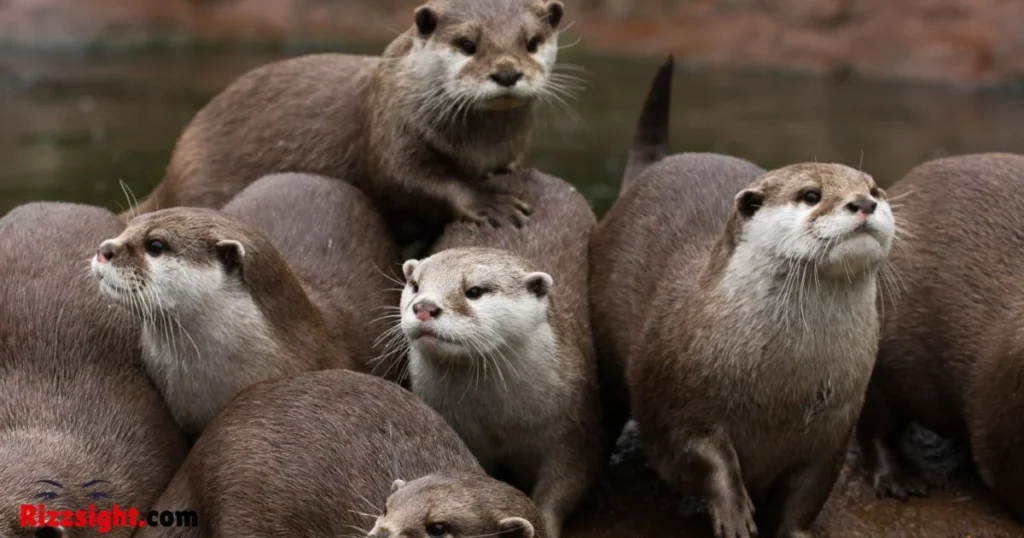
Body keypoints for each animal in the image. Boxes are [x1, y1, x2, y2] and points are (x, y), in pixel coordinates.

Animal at [129, 0, 569, 244]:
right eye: (467, 44)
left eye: (531, 42)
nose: (507, 73)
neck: (476, 148)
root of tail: (173, 172)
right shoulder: (389, 128)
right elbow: (407, 178)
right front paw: (488, 202)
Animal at [398, 170, 601, 538]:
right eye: (415, 286)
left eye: (475, 291)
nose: (424, 307)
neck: (500, 420)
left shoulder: (575, 426)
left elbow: (565, 484)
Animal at [601, 59, 896, 538]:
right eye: (811, 195)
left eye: (875, 189)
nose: (863, 203)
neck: (786, 391)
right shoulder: (676, 404)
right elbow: (705, 455)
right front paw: (735, 513)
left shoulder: (833, 434)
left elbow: (805, 497)